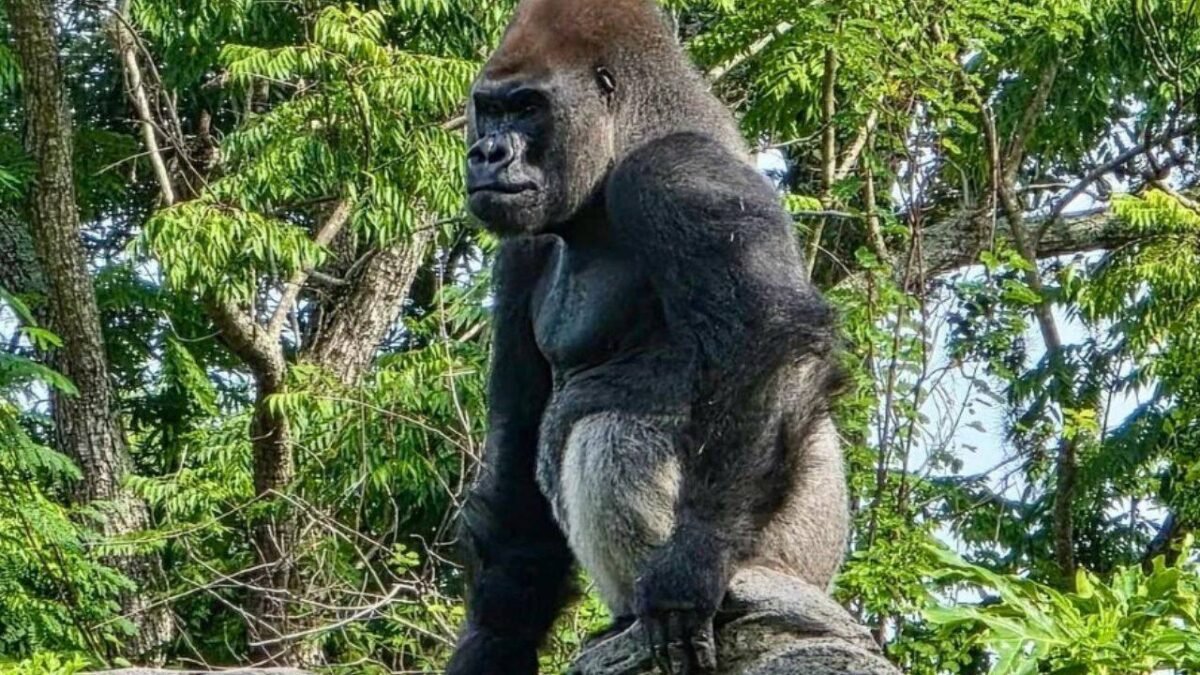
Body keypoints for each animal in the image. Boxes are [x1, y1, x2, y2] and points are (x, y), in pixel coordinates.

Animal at [444, 0, 848, 673]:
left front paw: (693, 565)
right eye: (492, 108)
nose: (486, 153)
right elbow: (517, 452)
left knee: (610, 432)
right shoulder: (523, 249)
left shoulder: (678, 174)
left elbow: (766, 338)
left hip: (793, 561)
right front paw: (494, 638)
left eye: (527, 107)